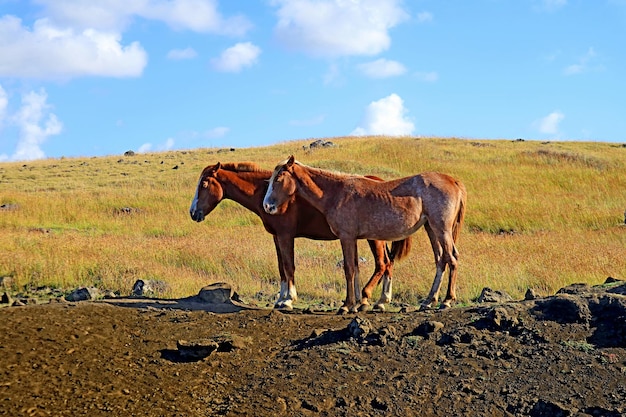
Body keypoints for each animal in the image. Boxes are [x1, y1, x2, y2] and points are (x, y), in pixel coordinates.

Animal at [188, 161, 410, 310]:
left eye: (204, 184)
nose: (193, 212)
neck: (266, 193)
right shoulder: (276, 237)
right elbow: (281, 268)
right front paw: (280, 298)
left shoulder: (286, 235)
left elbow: (289, 265)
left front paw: (288, 299)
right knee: (388, 264)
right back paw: (379, 301)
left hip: (375, 238)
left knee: (382, 264)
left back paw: (370, 299)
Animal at [260, 155, 466, 312]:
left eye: (278, 178)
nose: (267, 206)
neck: (336, 193)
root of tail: (454, 181)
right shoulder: (353, 239)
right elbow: (356, 268)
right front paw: (357, 304)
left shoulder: (346, 237)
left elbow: (349, 269)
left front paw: (347, 305)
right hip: (431, 229)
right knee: (440, 260)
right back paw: (429, 301)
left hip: (442, 229)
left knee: (451, 258)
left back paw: (447, 300)